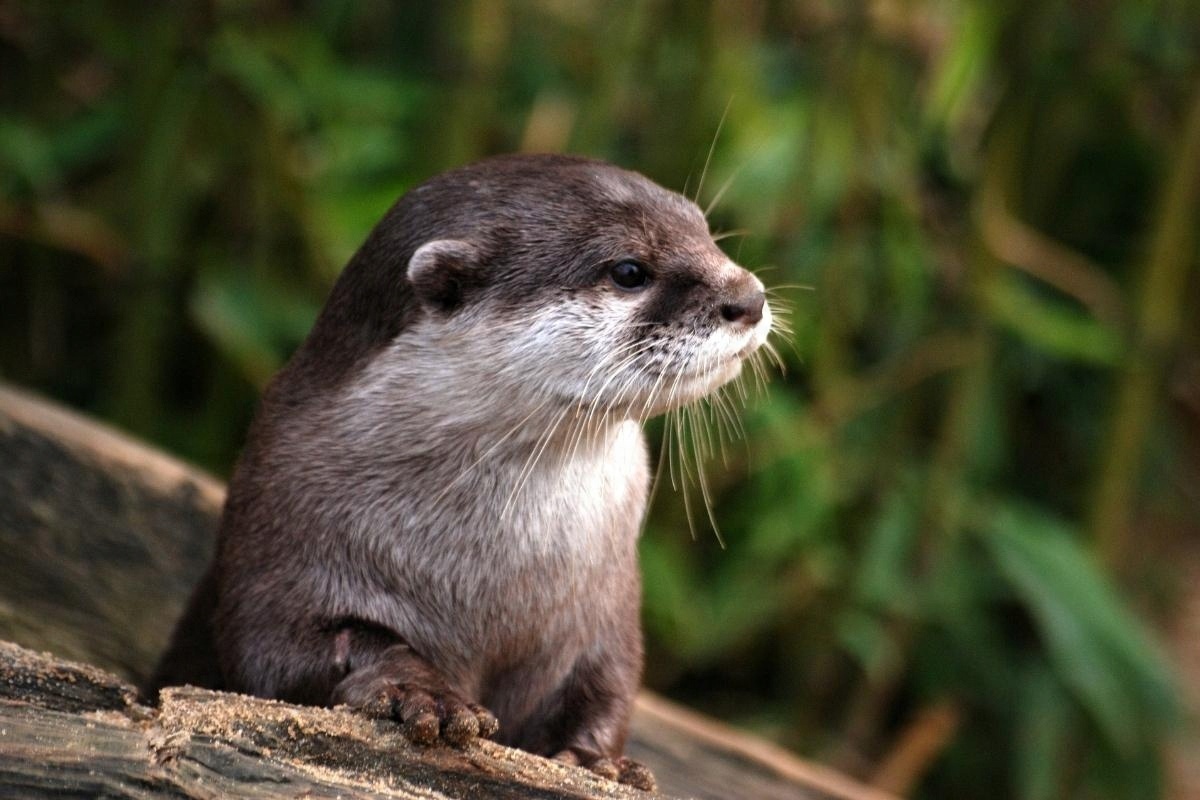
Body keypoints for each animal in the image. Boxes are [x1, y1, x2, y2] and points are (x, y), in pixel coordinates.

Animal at [149, 154, 772, 790]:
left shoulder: (608, 610)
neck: (491, 578)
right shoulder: (277, 530)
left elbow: (609, 686)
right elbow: (280, 652)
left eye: (704, 230)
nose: (748, 297)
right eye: (629, 270)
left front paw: (598, 760)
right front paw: (418, 692)